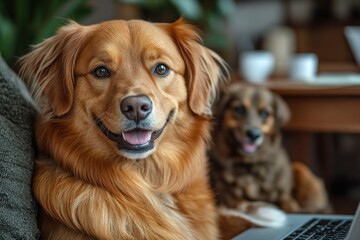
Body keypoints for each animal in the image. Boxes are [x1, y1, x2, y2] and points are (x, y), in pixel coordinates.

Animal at [210, 83, 330, 217]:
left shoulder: (284, 196)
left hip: (300, 168)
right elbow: (240, 203)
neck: (250, 164)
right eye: (239, 109)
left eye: (265, 113)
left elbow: (288, 203)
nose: (254, 134)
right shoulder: (230, 198)